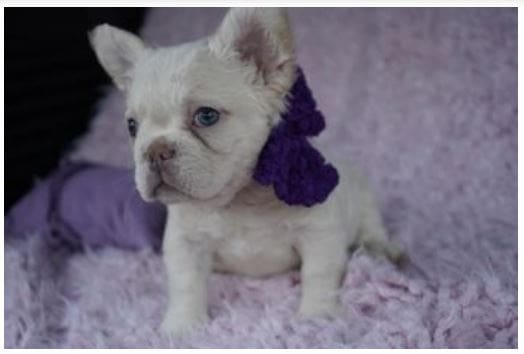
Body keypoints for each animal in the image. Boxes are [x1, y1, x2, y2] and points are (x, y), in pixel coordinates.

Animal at [90, 6, 404, 336]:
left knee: (372, 229)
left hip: (365, 202)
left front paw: (317, 316)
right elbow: (185, 284)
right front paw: (182, 326)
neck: (239, 200)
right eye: (132, 126)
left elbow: (319, 275)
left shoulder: (320, 234)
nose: (155, 150)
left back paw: (383, 249)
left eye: (206, 116)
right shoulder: (185, 243)